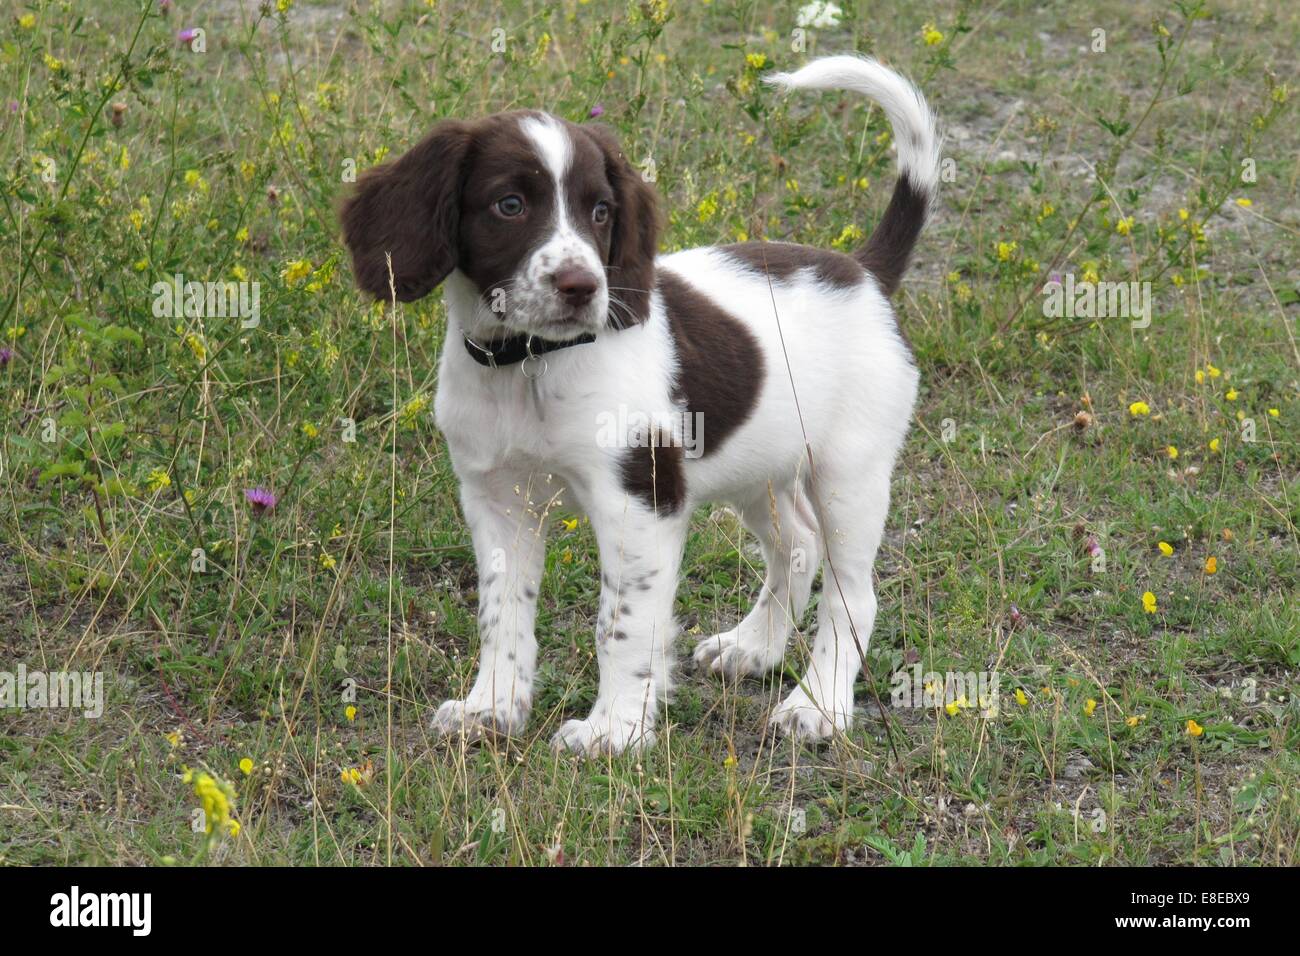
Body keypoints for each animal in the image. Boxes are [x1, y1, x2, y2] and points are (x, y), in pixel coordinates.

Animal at [340, 55, 941, 759]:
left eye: (601, 212)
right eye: (509, 205)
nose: (582, 286)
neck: (530, 364)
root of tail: (865, 272)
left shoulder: (639, 500)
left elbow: (621, 626)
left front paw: (615, 730)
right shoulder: (496, 499)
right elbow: (501, 613)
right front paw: (492, 708)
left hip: (850, 474)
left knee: (853, 595)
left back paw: (816, 707)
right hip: (759, 464)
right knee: (797, 544)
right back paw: (752, 649)